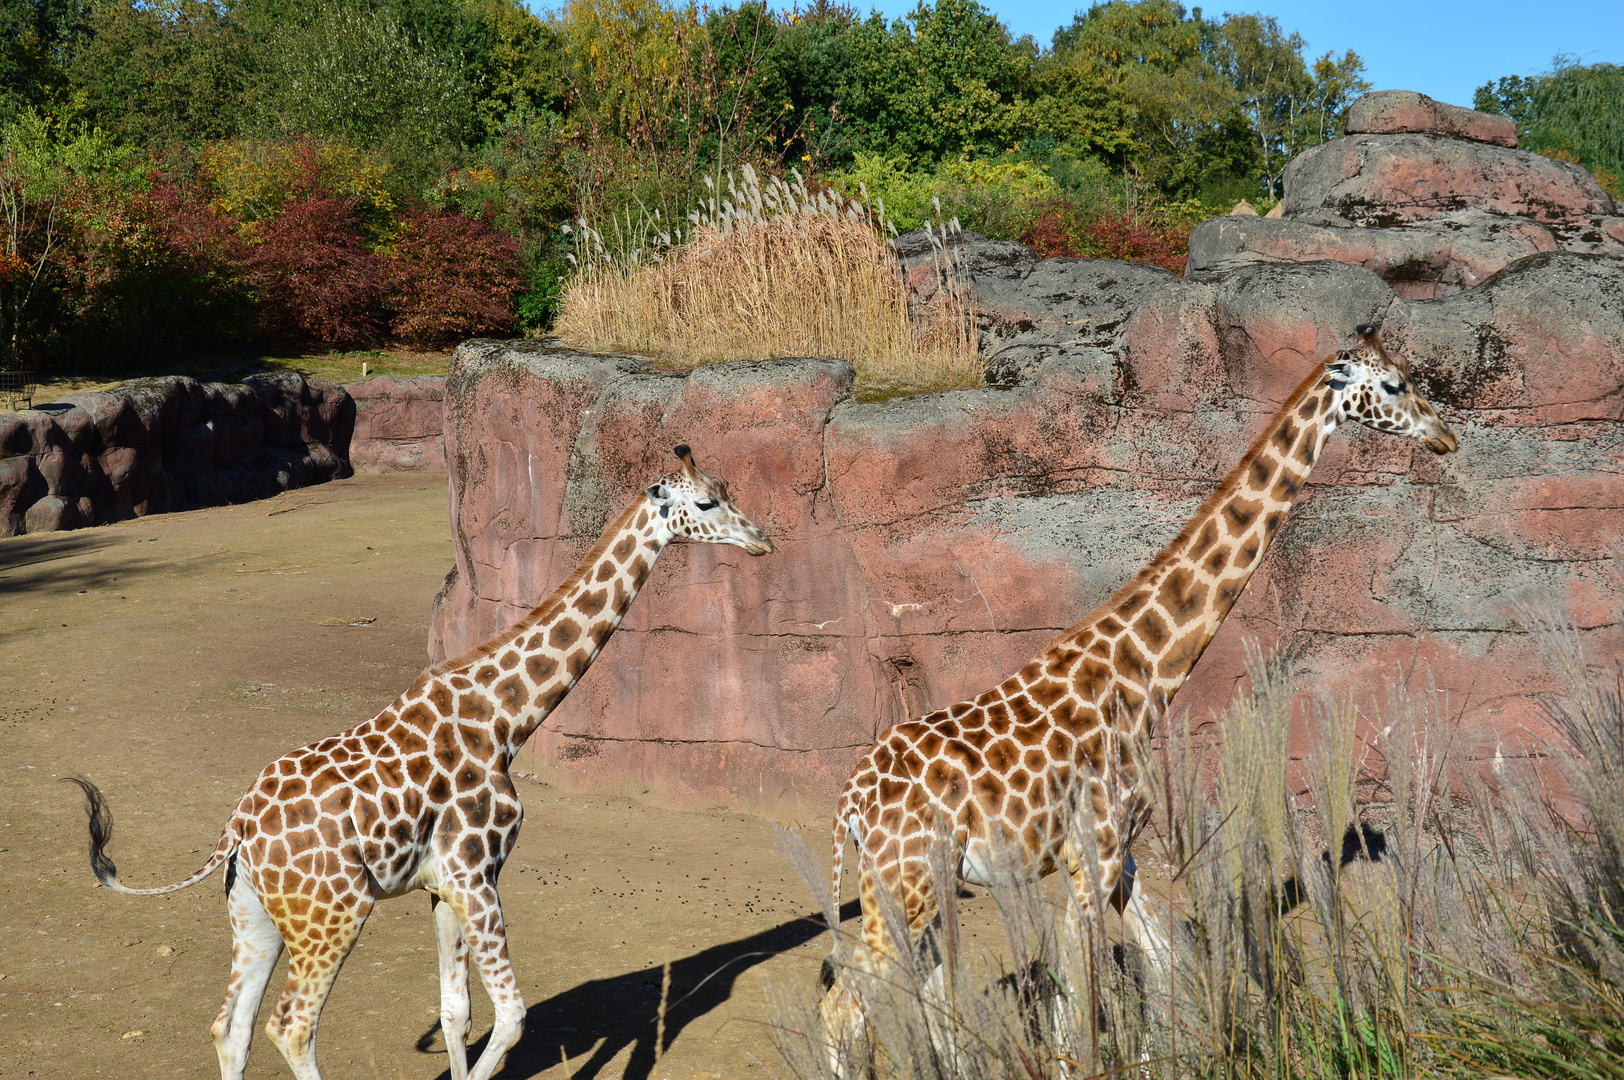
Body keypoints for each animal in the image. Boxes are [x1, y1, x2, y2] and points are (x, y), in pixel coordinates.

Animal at [64, 444, 773, 1078]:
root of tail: (236, 829)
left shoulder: (442, 886)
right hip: (333, 915)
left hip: (254, 915)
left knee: (229, 1029)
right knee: (291, 1028)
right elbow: (512, 1018)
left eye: (726, 489)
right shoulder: (475, 872)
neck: (505, 717)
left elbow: (456, 1013)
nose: (762, 539)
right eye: (706, 502)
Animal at [818, 324, 1468, 1058]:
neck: (1143, 674)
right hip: (906, 885)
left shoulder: (1118, 853)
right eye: (1393, 384)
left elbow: (1161, 959)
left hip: (914, 885)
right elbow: (1081, 1009)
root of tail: (849, 802)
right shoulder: (1091, 854)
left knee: (920, 1000)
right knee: (845, 1005)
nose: (1446, 437)